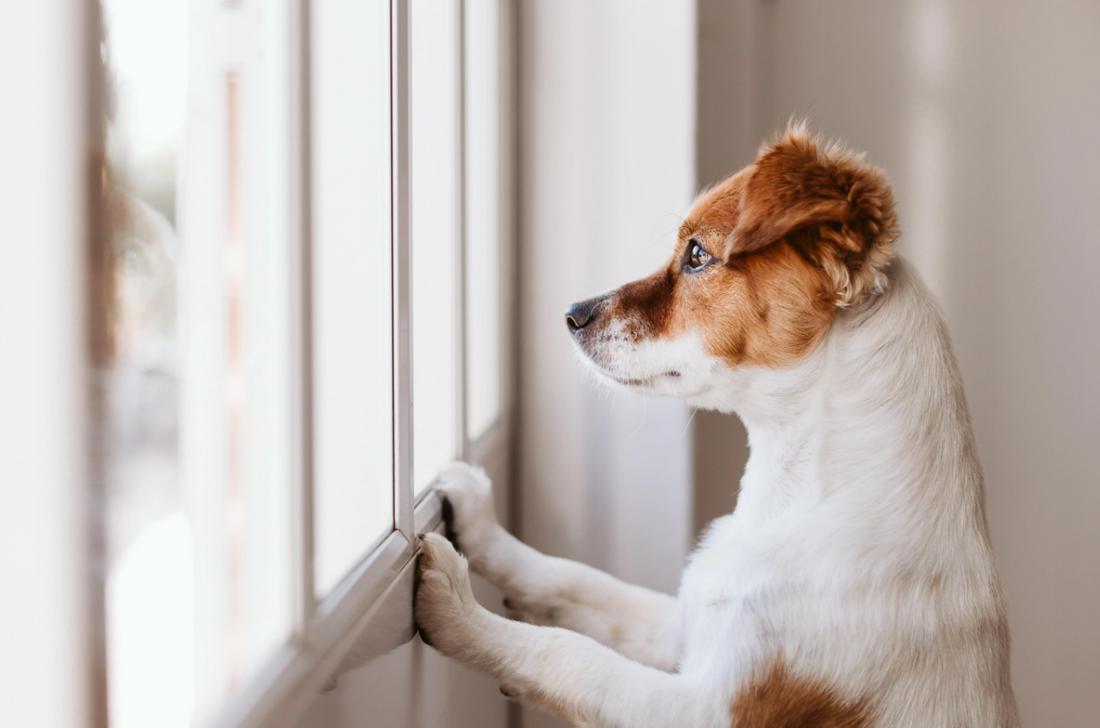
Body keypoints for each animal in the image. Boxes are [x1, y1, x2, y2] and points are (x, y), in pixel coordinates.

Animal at [413, 127, 1020, 728]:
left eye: (698, 254)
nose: (571, 314)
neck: (793, 497)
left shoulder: (710, 708)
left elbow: (568, 654)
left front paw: (458, 610)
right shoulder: (682, 627)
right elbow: (573, 578)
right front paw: (481, 524)